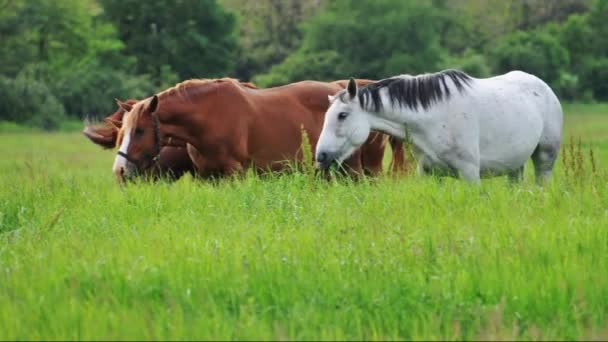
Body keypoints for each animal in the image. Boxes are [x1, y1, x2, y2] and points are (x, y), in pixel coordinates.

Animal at [111, 78, 388, 182]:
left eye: (139, 131)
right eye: (121, 133)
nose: (119, 170)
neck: (208, 117)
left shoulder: (235, 173)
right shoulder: (208, 176)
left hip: (350, 168)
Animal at [316, 69, 564, 184]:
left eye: (342, 115)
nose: (321, 156)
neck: (433, 119)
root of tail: (546, 88)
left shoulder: (470, 174)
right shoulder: (428, 173)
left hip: (545, 158)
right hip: (515, 166)